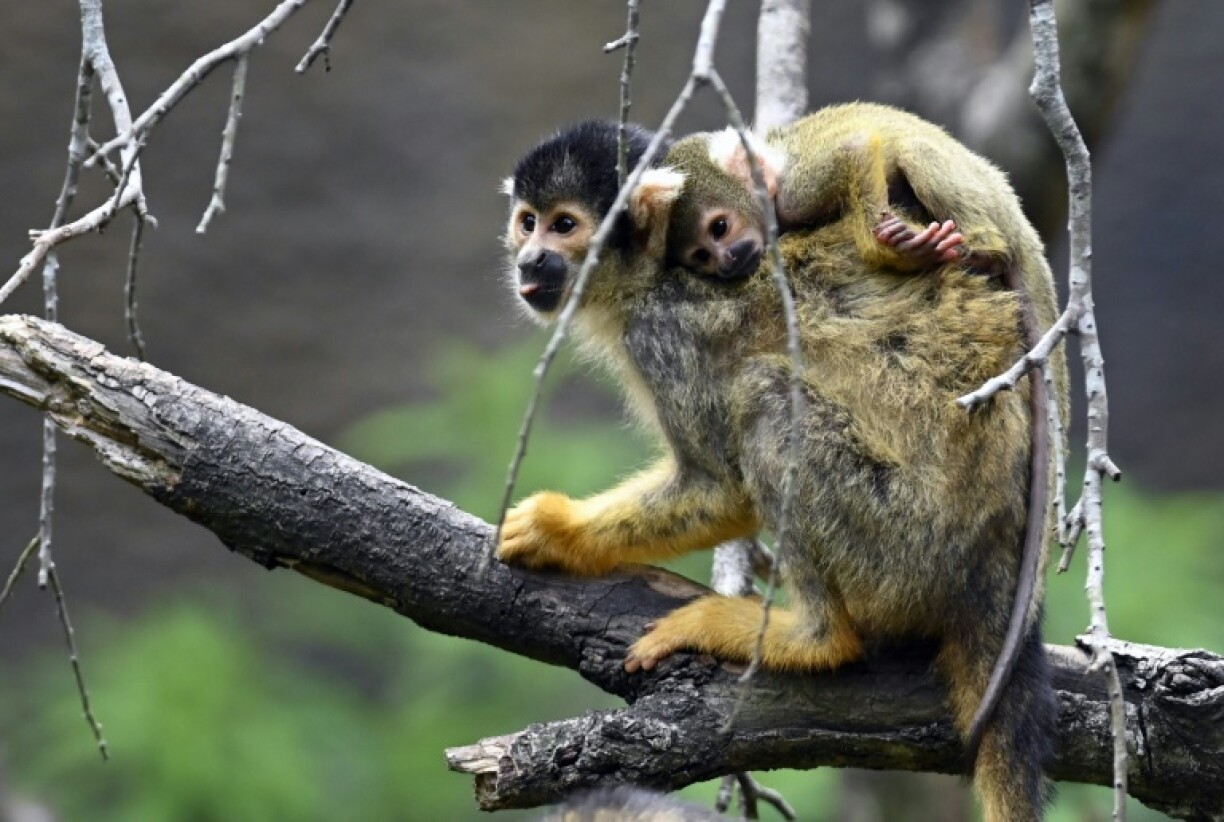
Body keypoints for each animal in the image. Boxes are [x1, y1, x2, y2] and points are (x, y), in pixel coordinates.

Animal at [499, 113, 1065, 821]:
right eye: (527, 221)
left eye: (565, 225)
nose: (530, 259)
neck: (649, 279)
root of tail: (997, 563)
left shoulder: (662, 336)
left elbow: (720, 489)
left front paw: (556, 531)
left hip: (909, 547)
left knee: (766, 401)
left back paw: (813, 639)